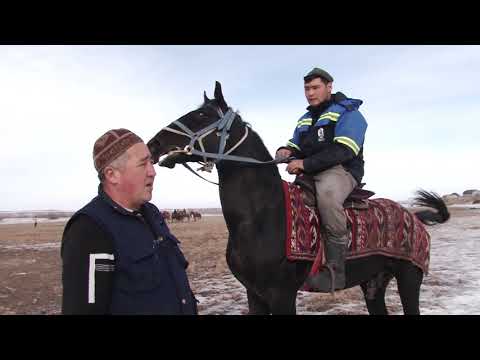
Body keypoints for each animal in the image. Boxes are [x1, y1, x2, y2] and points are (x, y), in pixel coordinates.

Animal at [147, 81, 450, 316]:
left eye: (200, 115)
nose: (154, 144)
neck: (262, 216)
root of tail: (415, 217)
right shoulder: (254, 294)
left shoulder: (281, 295)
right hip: (373, 284)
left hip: (409, 281)